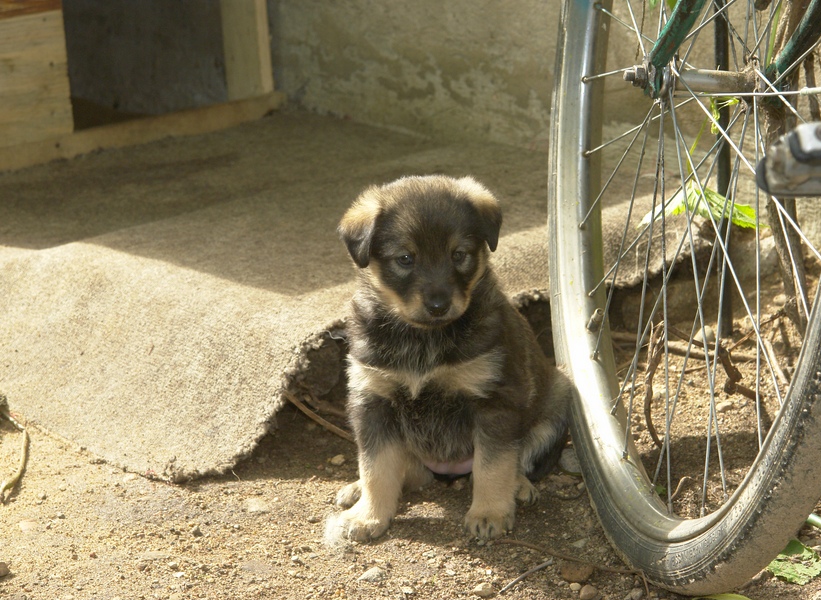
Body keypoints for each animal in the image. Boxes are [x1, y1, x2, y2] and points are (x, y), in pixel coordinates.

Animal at [326, 175, 572, 544]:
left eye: (459, 255)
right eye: (405, 259)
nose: (439, 305)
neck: (423, 338)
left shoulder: (493, 401)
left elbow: (492, 465)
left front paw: (488, 513)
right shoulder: (373, 400)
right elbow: (376, 467)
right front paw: (369, 516)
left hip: (557, 399)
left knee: (519, 459)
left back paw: (519, 486)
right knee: (407, 470)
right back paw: (357, 489)